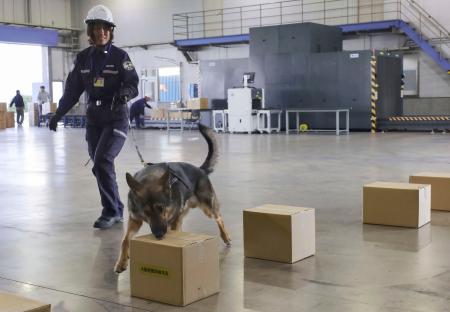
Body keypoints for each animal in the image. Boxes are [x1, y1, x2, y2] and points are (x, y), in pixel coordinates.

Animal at [114, 124, 230, 272]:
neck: (149, 177)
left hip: (208, 208)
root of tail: (200, 170)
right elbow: (125, 240)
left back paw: (226, 236)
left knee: (219, 218)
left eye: (161, 208)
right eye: (146, 212)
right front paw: (121, 261)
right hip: (182, 215)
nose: (158, 235)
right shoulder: (135, 220)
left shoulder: (171, 221)